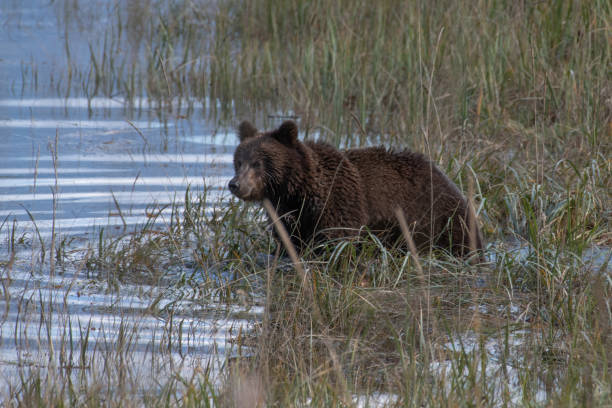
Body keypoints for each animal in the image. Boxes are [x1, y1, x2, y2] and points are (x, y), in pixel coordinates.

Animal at [230, 119, 482, 256]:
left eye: (257, 163)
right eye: (239, 161)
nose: (235, 184)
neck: (298, 191)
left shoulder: (338, 202)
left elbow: (339, 243)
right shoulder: (289, 218)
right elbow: (290, 244)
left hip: (436, 220)